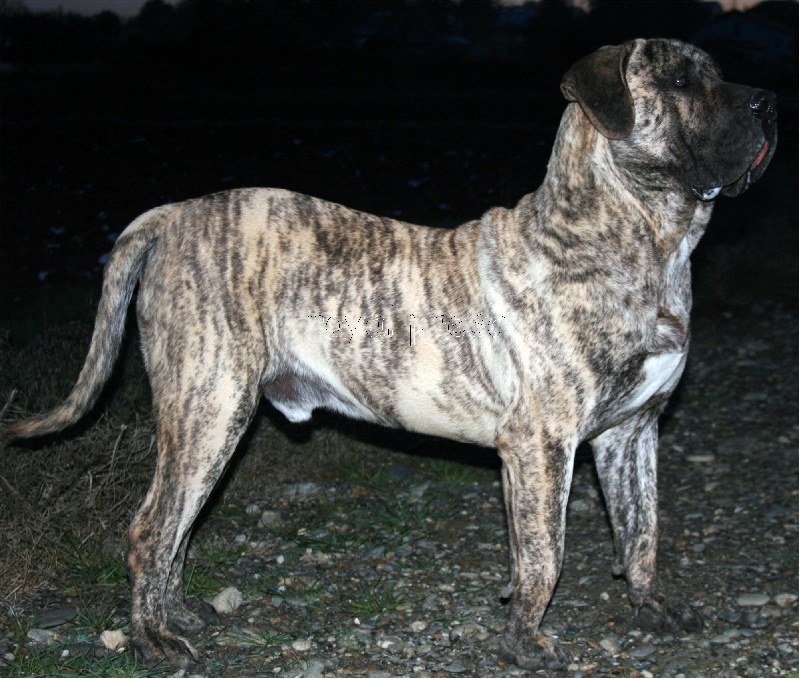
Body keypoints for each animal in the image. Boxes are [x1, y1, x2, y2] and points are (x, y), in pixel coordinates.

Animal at [8, 39, 776, 669]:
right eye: (680, 79)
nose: (769, 101)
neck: (644, 243)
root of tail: (170, 215)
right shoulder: (541, 444)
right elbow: (543, 556)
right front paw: (526, 642)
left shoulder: (632, 434)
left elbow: (642, 532)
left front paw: (651, 605)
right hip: (209, 410)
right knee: (151, 528)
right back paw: (153, 640)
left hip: (209, 422)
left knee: (174, 530)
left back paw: (173, 613)